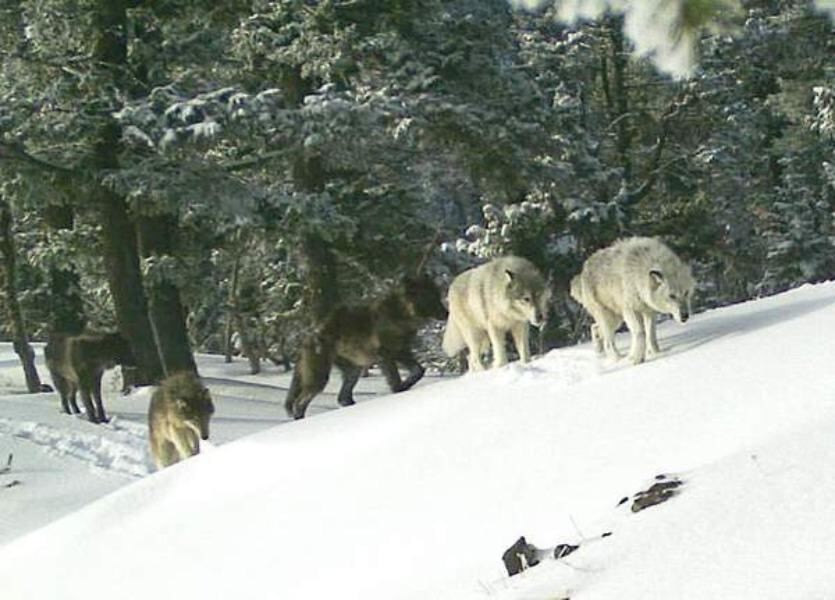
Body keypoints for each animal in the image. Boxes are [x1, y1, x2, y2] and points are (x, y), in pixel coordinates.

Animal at [284, 274, 448, 420]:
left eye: (438, 296)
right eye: (431, 298)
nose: (447, 313)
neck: (401, 314)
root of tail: (307, 337)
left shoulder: (401, 351)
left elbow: (418, 371)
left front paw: (406, 386)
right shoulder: (385, 354)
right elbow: (396, 380)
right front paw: (399, 390)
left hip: (353, 371)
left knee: (342, 398)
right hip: (320, 378)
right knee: (300, 403)